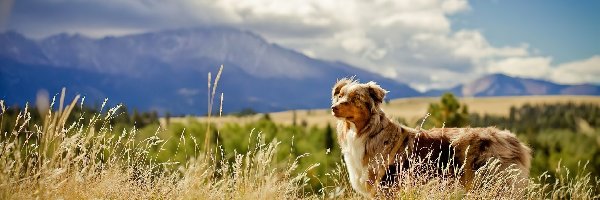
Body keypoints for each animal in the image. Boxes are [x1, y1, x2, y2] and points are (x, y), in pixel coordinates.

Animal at [330, 78, 532, 197]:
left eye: (356, 98)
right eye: (340, 96)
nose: (333, 108)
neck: (365, 131)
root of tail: (513, 140)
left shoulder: (387, 187)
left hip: (494, 185)